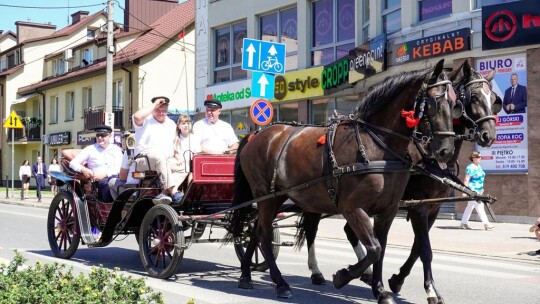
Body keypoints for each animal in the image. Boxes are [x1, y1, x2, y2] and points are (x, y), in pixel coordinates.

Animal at [228, 59, 460, 304]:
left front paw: (380, 290)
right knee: (263, 234)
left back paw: (246, 275)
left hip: (277, 197)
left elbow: (382, 249)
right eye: (434, 102)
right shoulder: (352, 208)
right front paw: (343, 276)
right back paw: (280, 283)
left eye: (455, 104)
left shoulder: (388, 211)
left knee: (256, 232)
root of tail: (256, 134)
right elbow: (375, 249)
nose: (445, 151)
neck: (376, 145)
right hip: (265, 195)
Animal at [296, 60, 502, 304]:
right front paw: (429, 289)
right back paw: (317, 271)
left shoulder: (432, 208)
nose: (489, 135)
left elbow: (417, 248)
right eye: (474, 97)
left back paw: (365, 274)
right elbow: (424, 249)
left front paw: (397, 279)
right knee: (311, 228)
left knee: (349, 230)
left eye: (493, 100)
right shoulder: (418, 207)